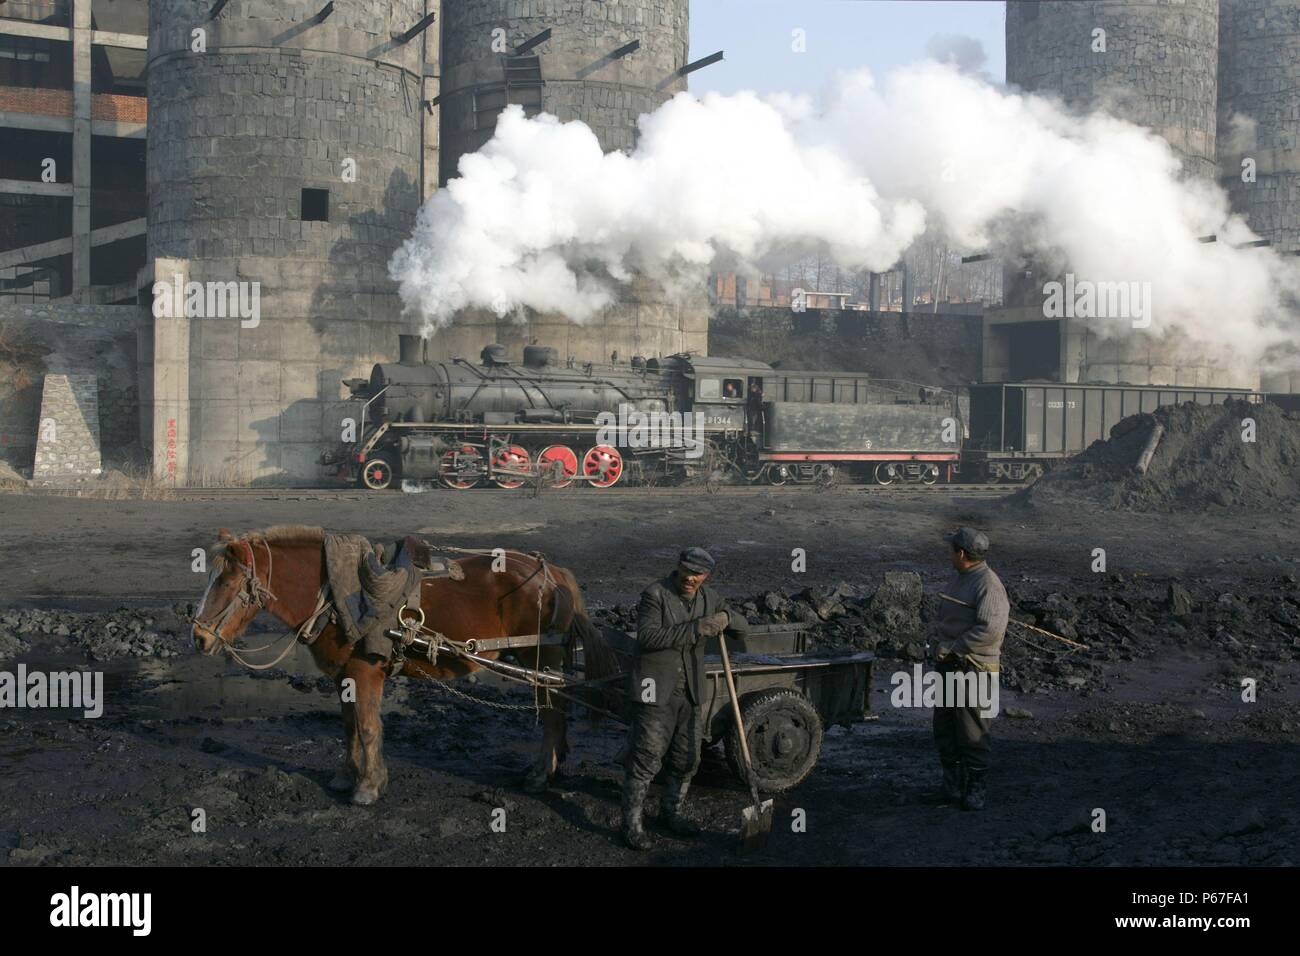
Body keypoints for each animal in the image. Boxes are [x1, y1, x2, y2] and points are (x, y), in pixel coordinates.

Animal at [192, 528, 613, 806]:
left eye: (226, 582)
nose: (198, 638)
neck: (339, 595)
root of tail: (551, 572)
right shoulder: (344, 675)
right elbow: (349, 727)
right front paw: (347, 776)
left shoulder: (365, 671)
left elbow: (367, 727)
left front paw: (369, 787)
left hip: (541, 657)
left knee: (554, 714)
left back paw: (541, 774)